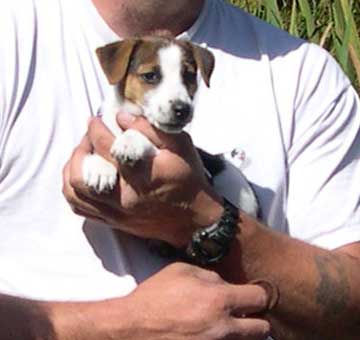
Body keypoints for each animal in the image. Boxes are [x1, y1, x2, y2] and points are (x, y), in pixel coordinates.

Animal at [83, 34, 215, 194]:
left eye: (189, 75)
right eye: (150, 76)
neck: (134, 112)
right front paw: (101, 166)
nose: (183, 110)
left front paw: (129, 141)